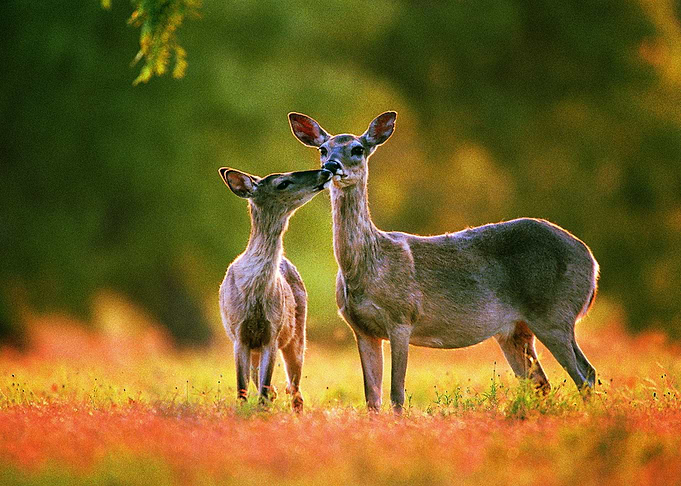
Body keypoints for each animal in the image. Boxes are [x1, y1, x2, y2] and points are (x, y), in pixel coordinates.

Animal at [218, 166, 333, 412]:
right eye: (283, 183)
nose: (326, 171)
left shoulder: (273, 332)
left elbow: (262, 387)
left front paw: (262, 411)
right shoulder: (238, 334)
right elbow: (242, 388)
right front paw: (243, 410)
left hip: (297, 334)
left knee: (296, 389)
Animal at [289, 111, 599, 414]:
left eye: (357, 148)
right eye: (322, 149)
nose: (331, 166)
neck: (369, 266)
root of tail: (591, 261)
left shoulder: (402, 318)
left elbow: (397, 395)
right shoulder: (362, 329)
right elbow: (372, 400)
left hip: (554, 312)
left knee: (585, 374)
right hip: (515, 330)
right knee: (543, 383)